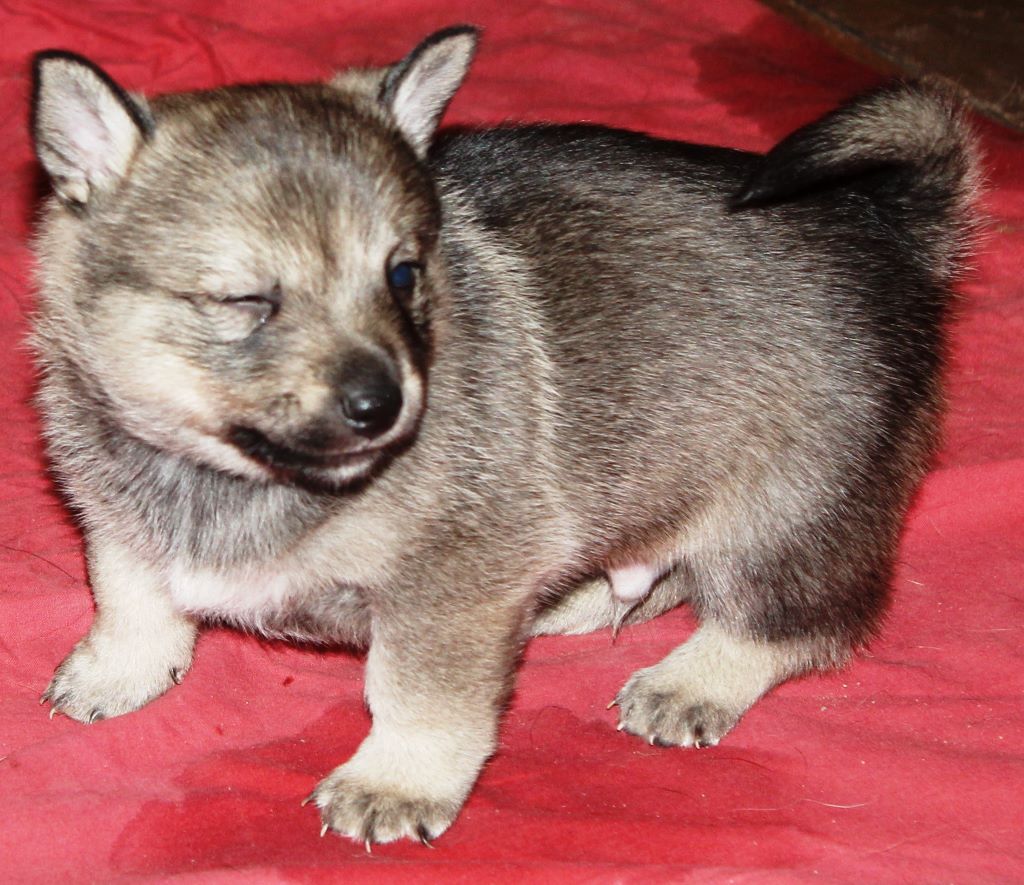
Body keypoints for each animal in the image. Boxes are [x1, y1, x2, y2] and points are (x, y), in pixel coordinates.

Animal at [28, 25, 978, 844]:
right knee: (664, 574)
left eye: (403, 274)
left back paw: (690, 679)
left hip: (792, 506)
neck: (225, 472)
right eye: (247, 300)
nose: (384, 404)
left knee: (797, 620)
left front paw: (398, 779)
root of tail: (895, 223)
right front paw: (120, 668)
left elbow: (415, 693)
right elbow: (133, 598)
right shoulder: (114, 518)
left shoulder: (444, 592)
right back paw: (575, 598)